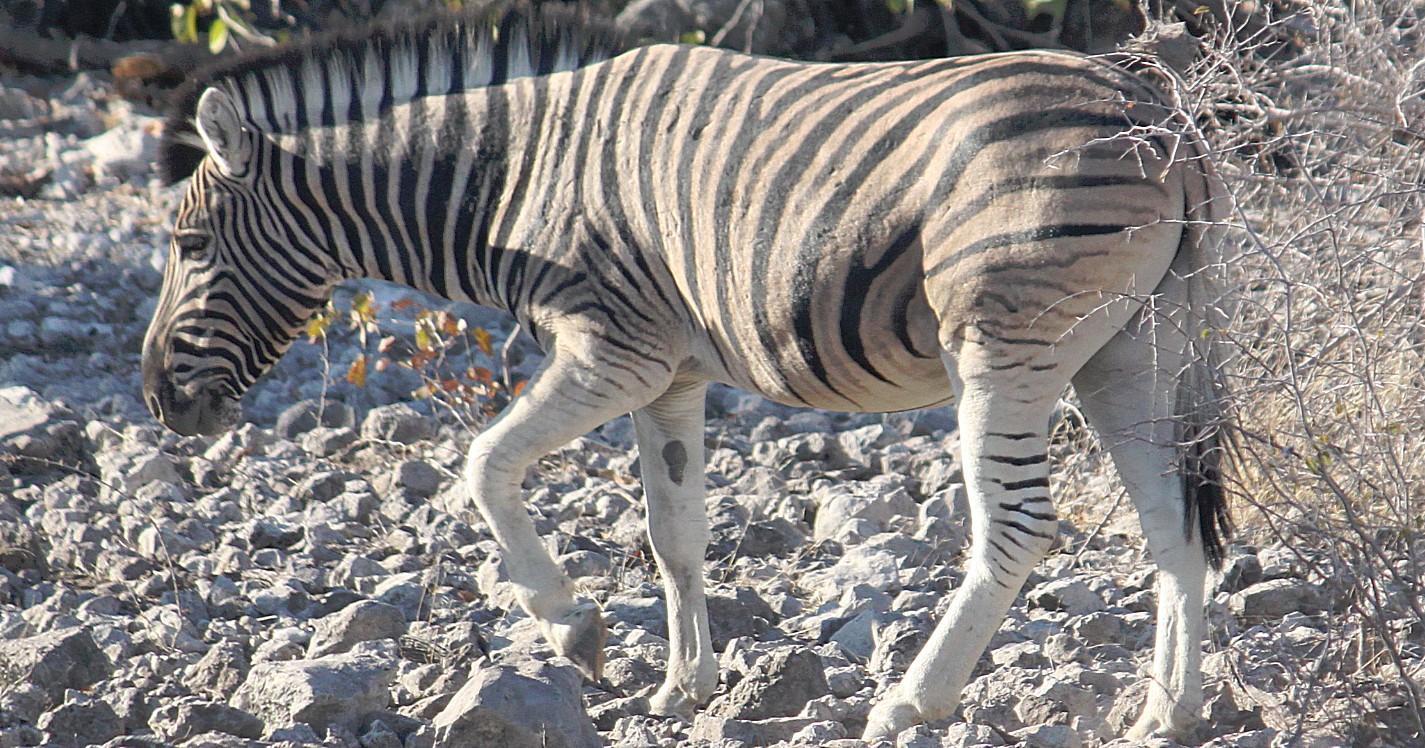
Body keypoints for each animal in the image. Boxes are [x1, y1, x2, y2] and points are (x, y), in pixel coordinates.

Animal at [147, 4, 1236, 740]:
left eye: (190, 244)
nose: (158, 401)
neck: (512, 174)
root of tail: (1155, 104)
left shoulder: (614, 348)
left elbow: (486, 466)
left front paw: (569, 624)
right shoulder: (669, 373)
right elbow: (674, 534)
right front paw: (684, 688)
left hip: (1007, 341)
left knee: (1017, 527)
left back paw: (909, 702)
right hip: (1133, 346)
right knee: (1172, 521)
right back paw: (1169, 713)